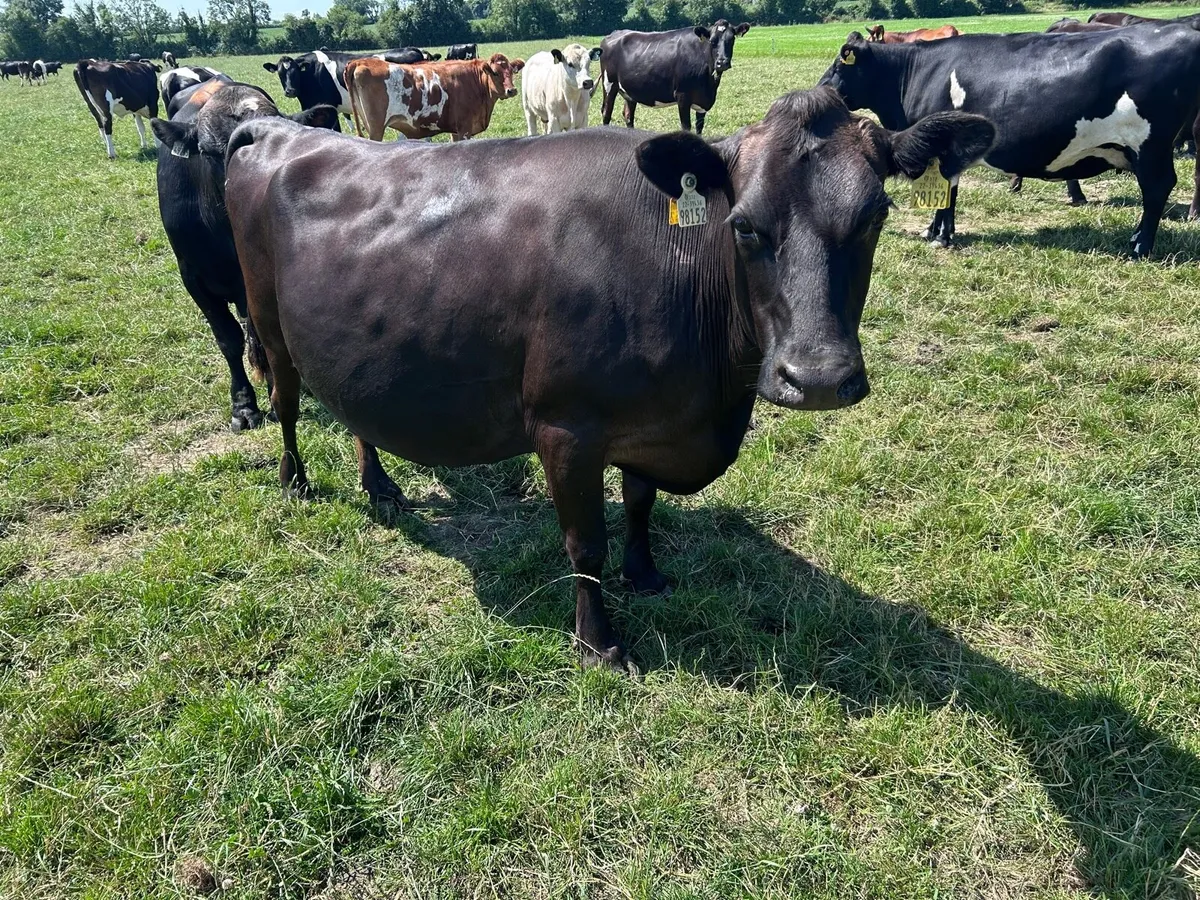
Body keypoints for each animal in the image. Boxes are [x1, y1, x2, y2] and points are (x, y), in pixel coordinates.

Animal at [224, 86, 993, 671]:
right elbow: (583, 540)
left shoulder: (651, 424)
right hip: (268, 323)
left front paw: (645, 573)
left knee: (354, 410)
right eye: (744, 226)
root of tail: (276, 129)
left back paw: (380, 484)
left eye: (876, 215)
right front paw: (598, 642)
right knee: (286, 402)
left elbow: (641, 504)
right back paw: (296, 481)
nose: (821, 377)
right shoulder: (565, 426)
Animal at [344, 53, 524, 142]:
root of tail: (360, 62)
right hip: (376, 128)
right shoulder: (465, 127)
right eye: (495, 72)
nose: (512, 90)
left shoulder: (455, 130)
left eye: (511, 71)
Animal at [600, 20, 750, 134]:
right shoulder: (682, 95)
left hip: (629, 91)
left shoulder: (703, 102)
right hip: (609, 84)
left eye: (731, 39)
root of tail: (613, 34)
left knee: (628, 115)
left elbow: (699, 129)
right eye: (712, 41)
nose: (722, 62)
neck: (710, 84)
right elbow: (686, 127)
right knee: (606, 113)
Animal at [819, 28, 1200, 258]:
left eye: (840, 63)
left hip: (1151, 145)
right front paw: (934, 231)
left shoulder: (944, 148)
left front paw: (941, 237)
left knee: (1157, 188)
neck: (915, 71)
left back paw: (1139, 247)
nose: (821, 90)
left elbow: (947, 193)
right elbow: (948, 194)